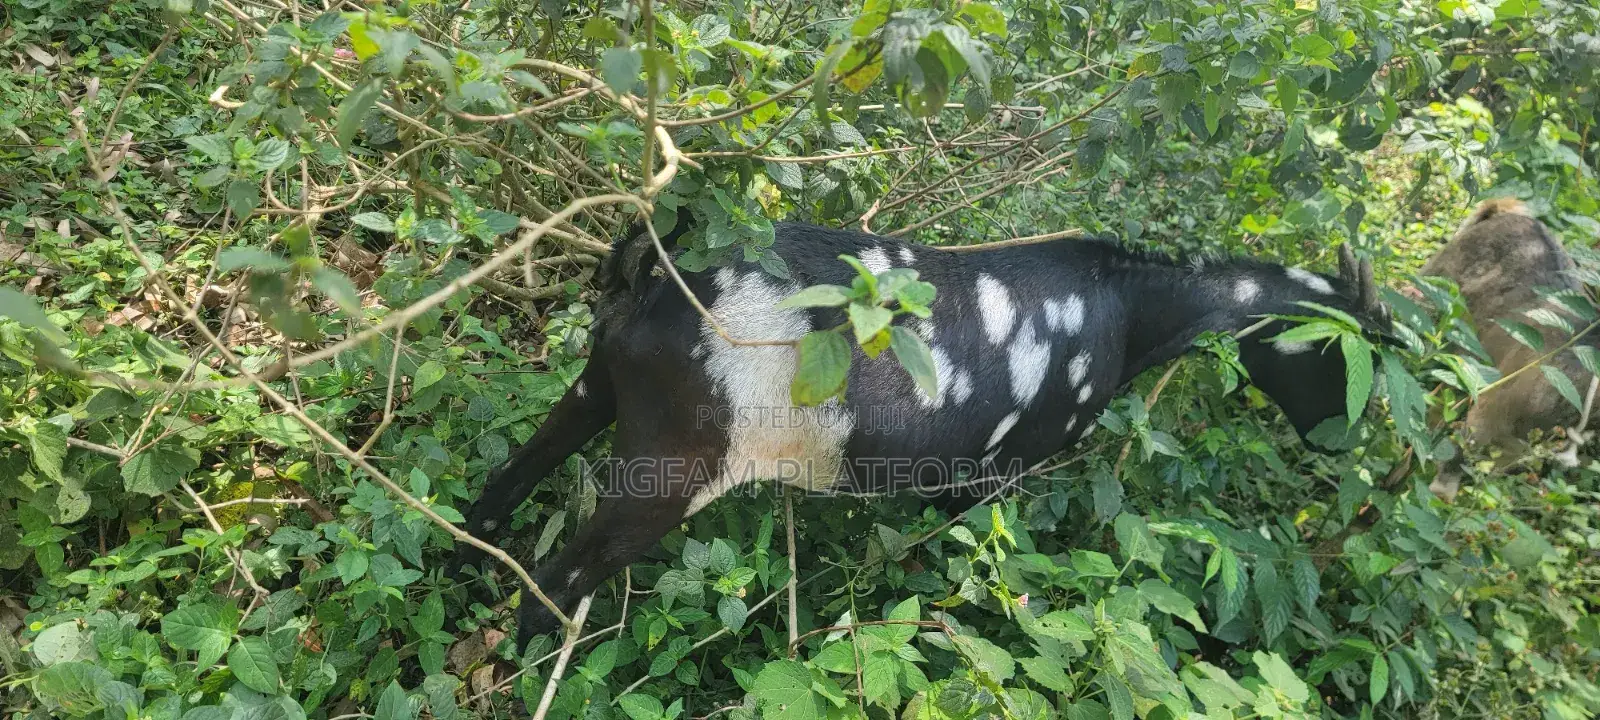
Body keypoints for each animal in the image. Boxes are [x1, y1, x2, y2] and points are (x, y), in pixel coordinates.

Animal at [451, 222, 1392, 648]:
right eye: (1357, 355)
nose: (1336, 444)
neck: (1126, 309)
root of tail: (654, 272)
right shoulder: (1003, 472)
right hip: (675, 460)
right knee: (558, 578)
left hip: (597, 388)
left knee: (501, 488)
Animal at [1420, 198, 1598, 500]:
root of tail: (1506, 210)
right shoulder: (1490, 412)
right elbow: (1458, 458)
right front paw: (1439, 495)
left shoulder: (1516, 448)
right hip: (1429, 289)